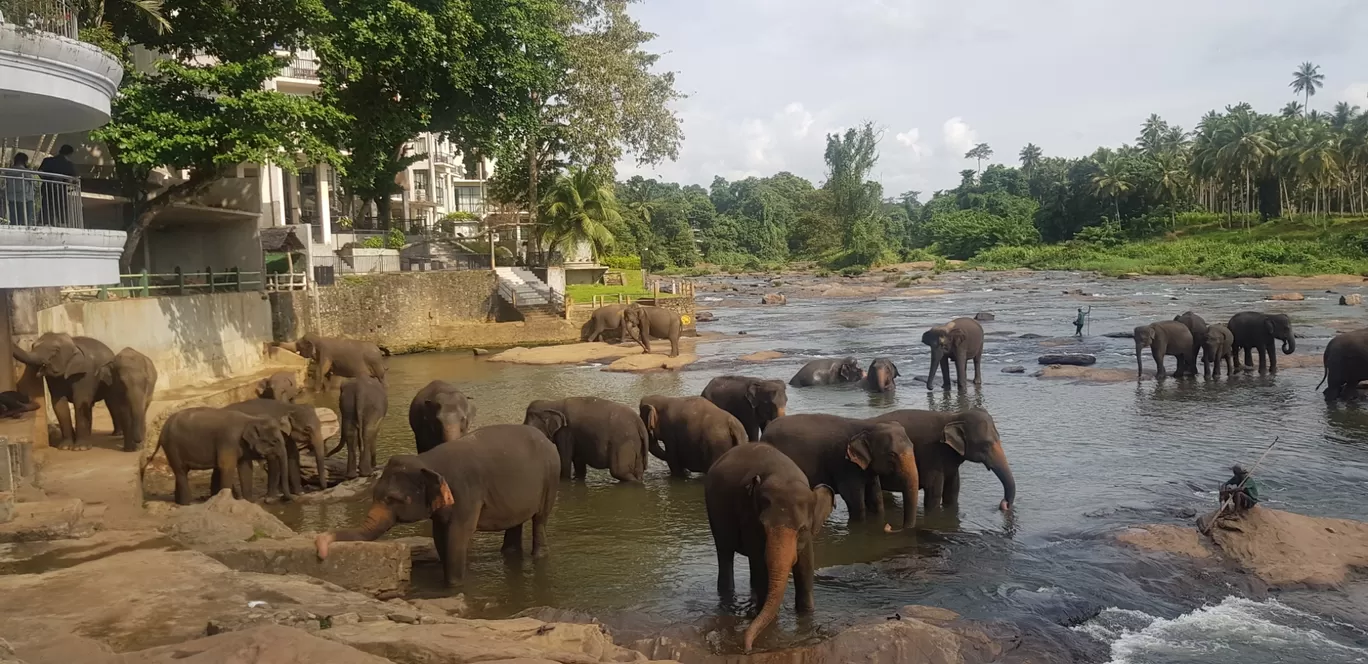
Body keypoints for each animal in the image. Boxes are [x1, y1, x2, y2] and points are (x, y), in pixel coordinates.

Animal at [145, 405, 292, 503]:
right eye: (274, 441)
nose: (287, 498)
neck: (251, 418)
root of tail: (162, 430)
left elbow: (245, 469)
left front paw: (249, 502)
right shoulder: (229, 440)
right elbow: (226, 467)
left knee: (182, 472)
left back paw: (179, 503)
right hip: (172, 447)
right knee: (180, 471)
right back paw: (187, 504)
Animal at [314, 424, 560, 585]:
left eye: (394, 499)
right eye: (375, 494)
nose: (321, 551)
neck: (427, 461)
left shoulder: (466, 493)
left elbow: (458, 534)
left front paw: (454, 586)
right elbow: (440, 535)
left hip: (551, 478)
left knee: (540, 519)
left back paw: (539, 556)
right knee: (516, 522)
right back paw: (509, 553)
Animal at [705, 443, 831, 648]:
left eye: (802, 528)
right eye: (762, 526)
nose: (747, 648)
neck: (783, 475)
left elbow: (806, 566)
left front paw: (806, 614)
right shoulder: (748, 518)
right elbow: (759, 563)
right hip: (715, 515)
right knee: (725, 553)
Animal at [760, 413, 919, 528]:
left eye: (912, 446)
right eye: (891, 454)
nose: (890, 528)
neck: (867, 426)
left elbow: (876, 498)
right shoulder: (844, 465)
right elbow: (854, 500)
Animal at [864, 405, 1017, 509]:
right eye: (985, 445)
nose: (1004, 504)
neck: (954, 417)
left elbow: (953, 490)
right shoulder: (932, 455)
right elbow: (934, 493)